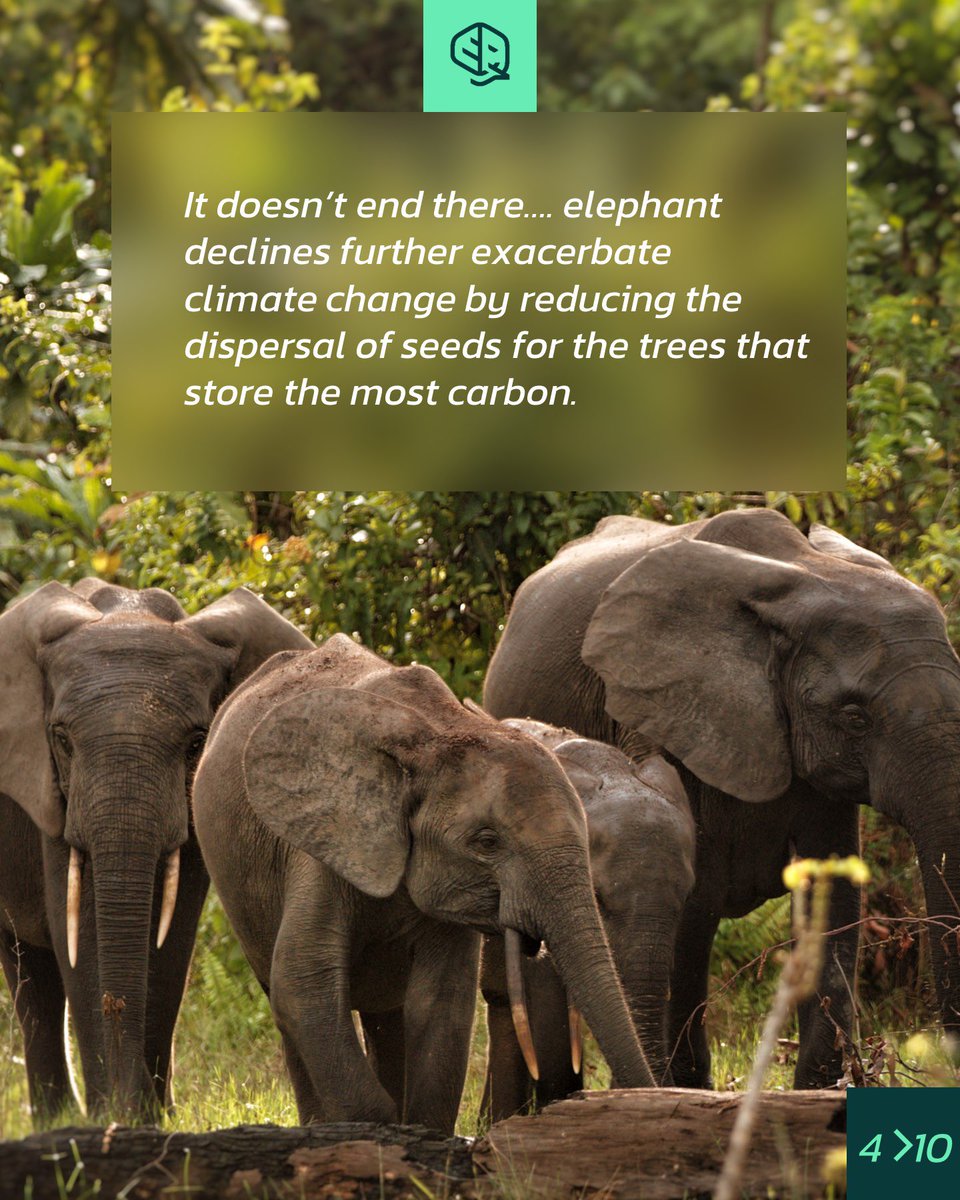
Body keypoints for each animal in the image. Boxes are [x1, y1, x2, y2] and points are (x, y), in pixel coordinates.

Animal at [0, 580, 311, 1120]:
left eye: (197, 742)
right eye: (61, 739)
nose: (134, 1101)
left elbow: (173, 937)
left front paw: (151, 1117)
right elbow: (76, 928)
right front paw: (112, 1118)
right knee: (29, 974)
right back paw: (55, 1119)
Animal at [191, 633, 655, 1134]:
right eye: (487, 842)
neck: (437, 734)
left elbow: (440, 1005)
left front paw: (417, 1135)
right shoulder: (322, 844)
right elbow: (302, 983)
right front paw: (375, 1133)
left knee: (387, 1015)